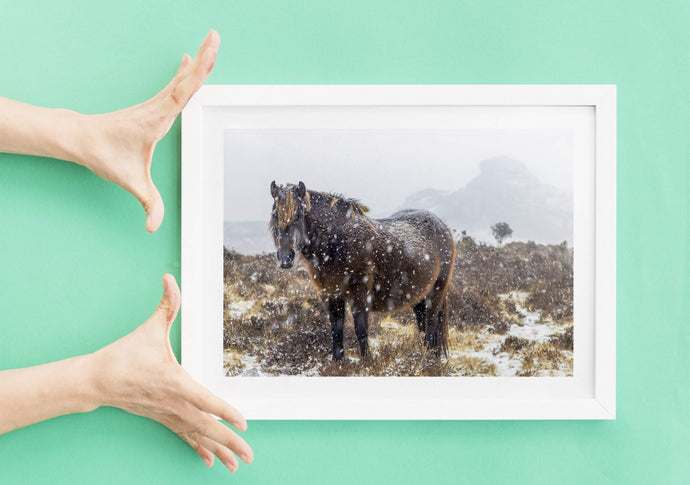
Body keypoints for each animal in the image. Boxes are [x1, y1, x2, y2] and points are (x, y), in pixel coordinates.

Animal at [270, 182, 456, 360]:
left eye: (298, 215)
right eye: (275, 215)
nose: (285, 258)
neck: (337, 242)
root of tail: (443, 226)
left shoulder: (359, 296)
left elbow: (361, 330)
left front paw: (367, 362)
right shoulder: (330, 296)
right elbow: (336, 331)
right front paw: (337, 363)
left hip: (436, 292)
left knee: (430, 325)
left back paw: (427, 359)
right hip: (419, 297)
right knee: (423, 326)